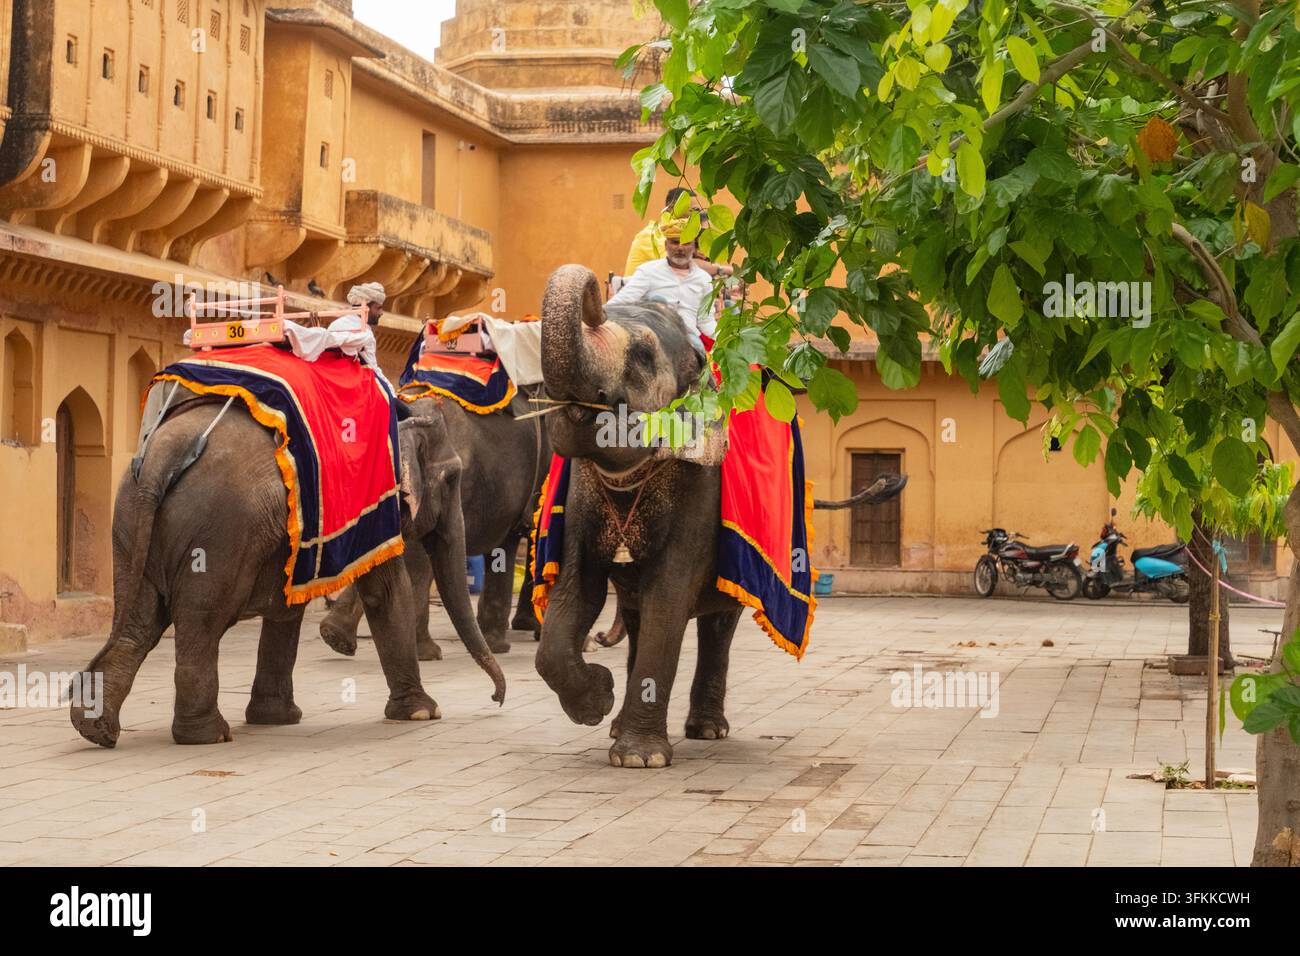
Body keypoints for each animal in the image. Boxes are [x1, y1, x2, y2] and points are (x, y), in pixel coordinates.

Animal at [70, 397, 504, 748]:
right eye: (452, 477)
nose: (497, 699)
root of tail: (163, 453)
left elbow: (288, 607)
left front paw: (277, 718)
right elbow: (385, 590)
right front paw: (422, 713)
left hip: (129, 522)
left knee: (138, 623)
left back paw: (96, 729)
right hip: (219, 533)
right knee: (201, 621)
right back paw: (208, 736)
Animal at [533, 264, 904, 768]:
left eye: (644, 355)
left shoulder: (701, 488)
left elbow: (668, 597)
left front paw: (639, 758)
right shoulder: (579, 496)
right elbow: (576, 593)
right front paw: (600, 702)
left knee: (717, 623)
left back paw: (706, 730)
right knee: (637, 614)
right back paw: (619, 725)